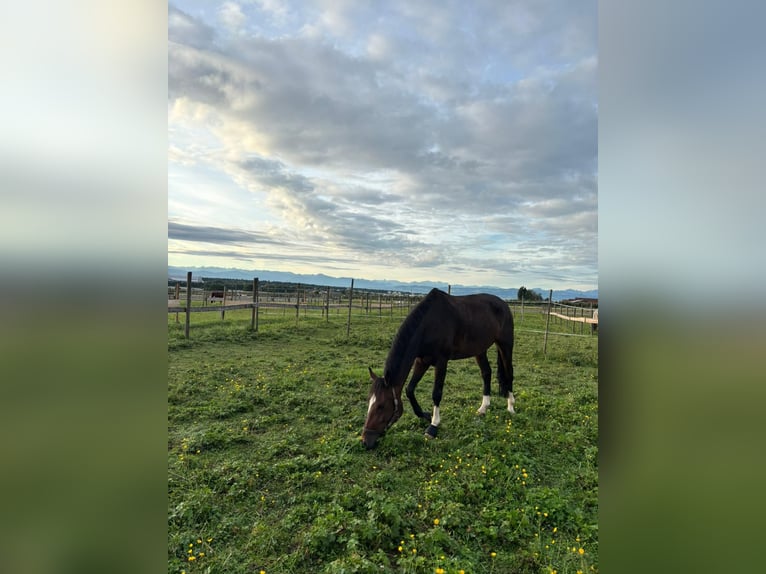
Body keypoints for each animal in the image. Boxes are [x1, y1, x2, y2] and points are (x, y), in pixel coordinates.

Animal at [362, 288, 515, 449]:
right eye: (369, 401)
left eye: (381, 406)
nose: (365, 440)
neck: (428, 324)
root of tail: (503, 304)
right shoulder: (421, 361)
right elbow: (409, 390)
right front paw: (425, 415)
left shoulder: (441, 362)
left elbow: (436, 393)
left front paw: (433, 426)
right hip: (480, 350)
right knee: (486, 373)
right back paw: (483, 408)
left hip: (505, 344)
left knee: (509, 373)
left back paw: (511, 407)